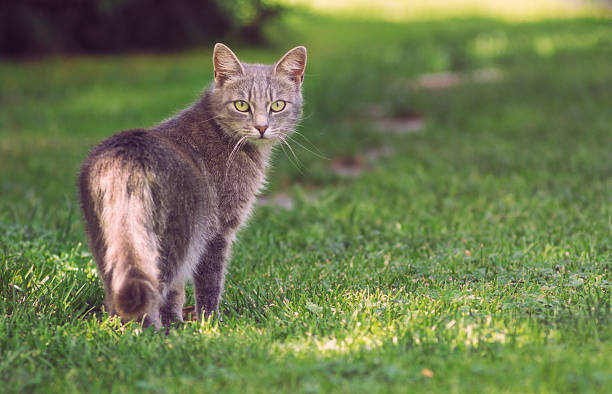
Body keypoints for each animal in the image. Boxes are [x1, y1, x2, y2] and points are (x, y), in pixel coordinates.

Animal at [77, 43, 306, 328]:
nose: (262, 127)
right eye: (242, 105)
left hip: (106, 239)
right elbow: (209, 284)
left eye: (277, 105)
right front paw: (210, 323)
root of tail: (128, 156)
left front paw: (177, 325)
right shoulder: (217, 232)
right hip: (174, 240)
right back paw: (151, 335)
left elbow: (175, 295)